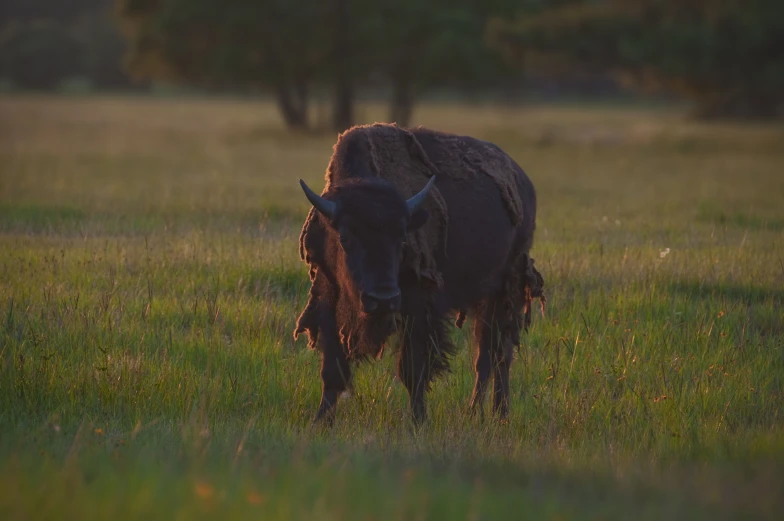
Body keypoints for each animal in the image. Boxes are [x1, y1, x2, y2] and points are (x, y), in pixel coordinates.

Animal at [294, 124, 544, 424]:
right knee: (486, 356)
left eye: (402, 237)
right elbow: (333, 370)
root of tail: (523, 181)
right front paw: (319, 421)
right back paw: (478, 412)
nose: (383, 298)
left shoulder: (418, 306)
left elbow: (413, 370)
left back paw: (497, 413)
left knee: (498, 354)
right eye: (344, 236)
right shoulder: (330, 298)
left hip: (505, 290)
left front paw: (418, 421)